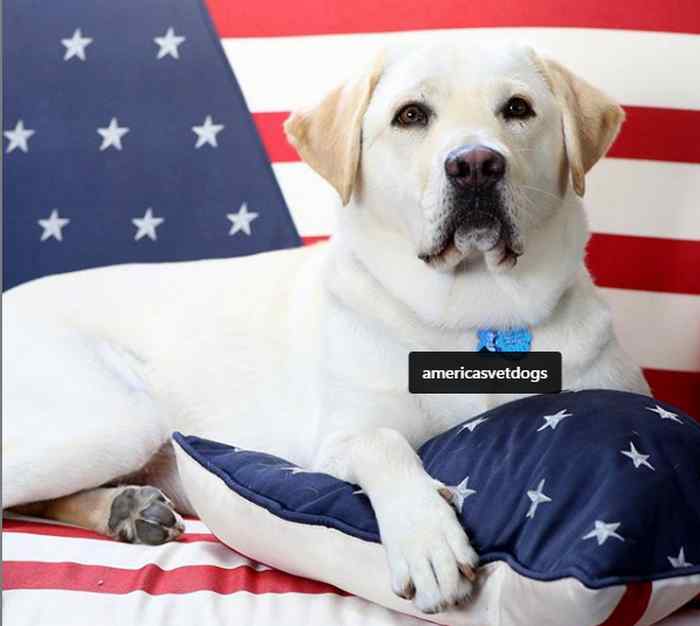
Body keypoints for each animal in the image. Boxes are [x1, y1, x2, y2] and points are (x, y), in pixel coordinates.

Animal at [2, 42, 648, 608]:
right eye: (411, 115)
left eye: (517, 108)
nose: (475, 165)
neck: (475, 314)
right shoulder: (335, 440)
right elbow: (383, 443)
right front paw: (427, 539)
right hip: (117, 419)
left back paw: (127, 510)